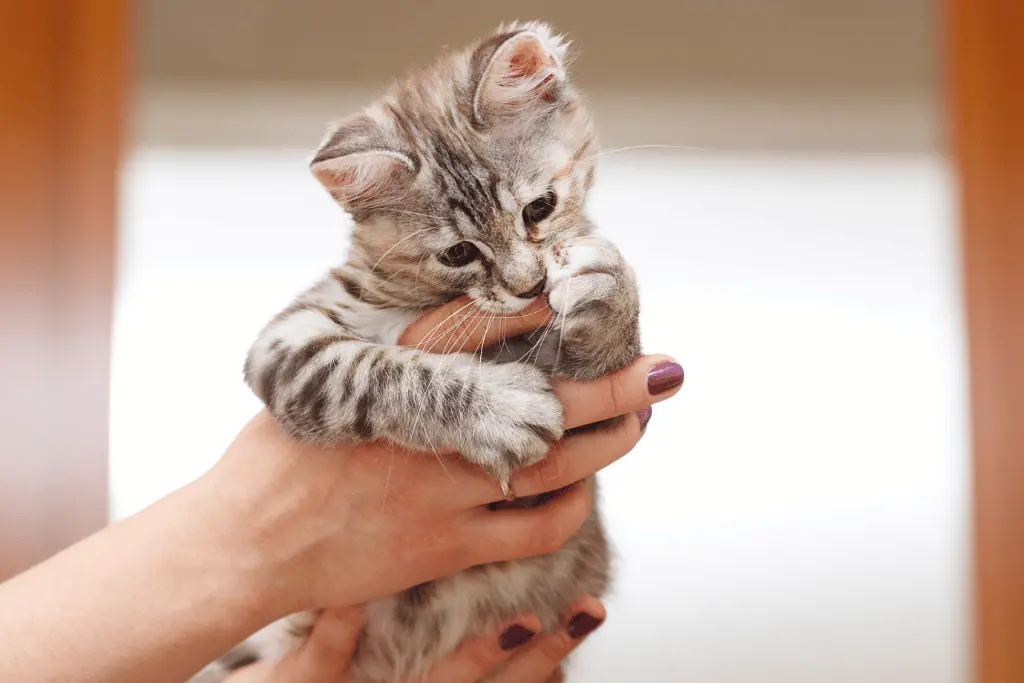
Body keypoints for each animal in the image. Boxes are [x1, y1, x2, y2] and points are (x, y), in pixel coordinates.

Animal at [192, 21, 638, 683]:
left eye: (539, 208)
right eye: (458, 253)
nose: (528, 284)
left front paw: (607, 291)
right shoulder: (290, 341)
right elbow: (371, 370)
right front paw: (496, 410)